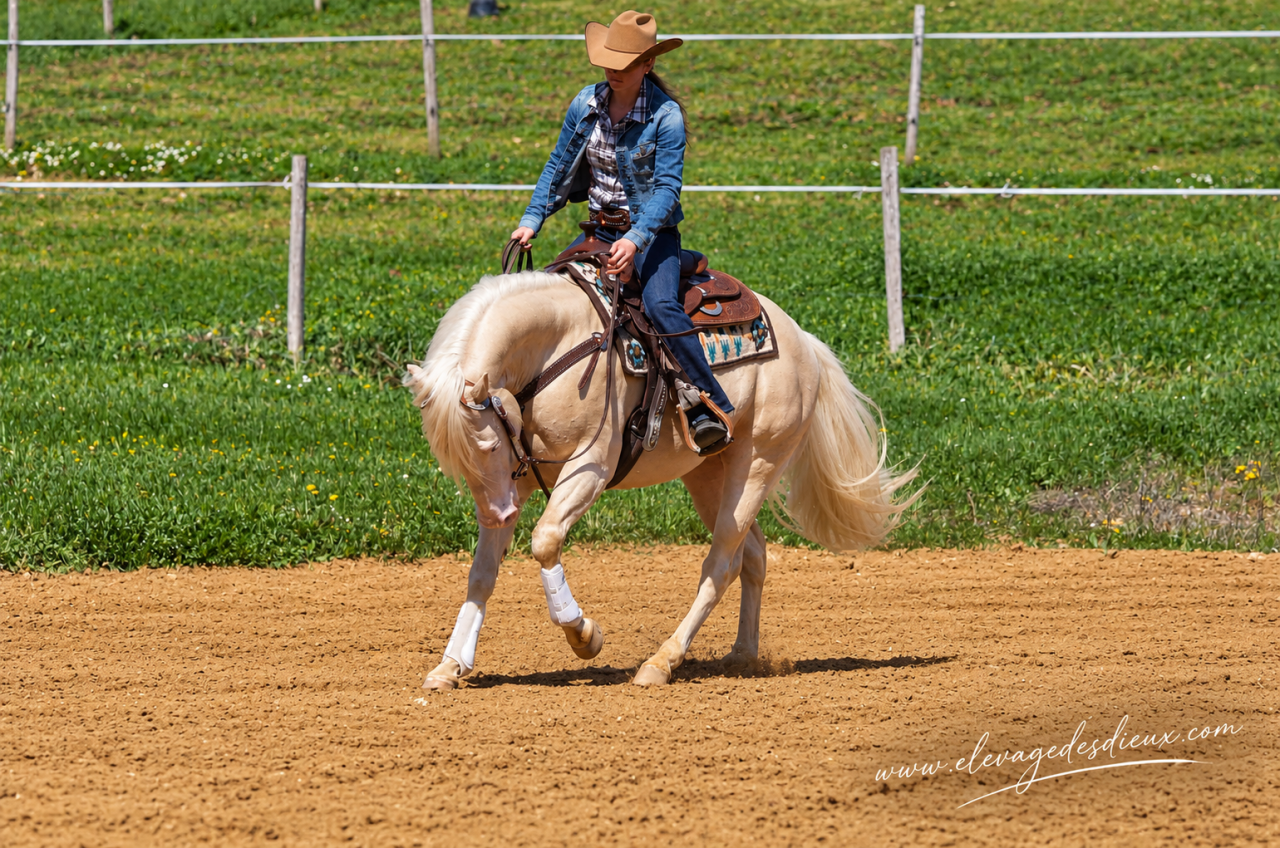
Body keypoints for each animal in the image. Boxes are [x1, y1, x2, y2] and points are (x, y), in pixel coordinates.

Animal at [403, 269, 919, 689]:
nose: (499, 513)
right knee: (750, 555)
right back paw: (742, 654)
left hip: (758, 464)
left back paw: (661, 662)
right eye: (453, 460)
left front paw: (584, 635)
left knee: (720, 563)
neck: (557, 345)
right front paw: (449, 665)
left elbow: (545, 540)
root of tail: (803, 340)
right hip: (710, 475)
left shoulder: (590, 468)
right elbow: (481, 574)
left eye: (487, 446)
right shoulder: (519, 478)